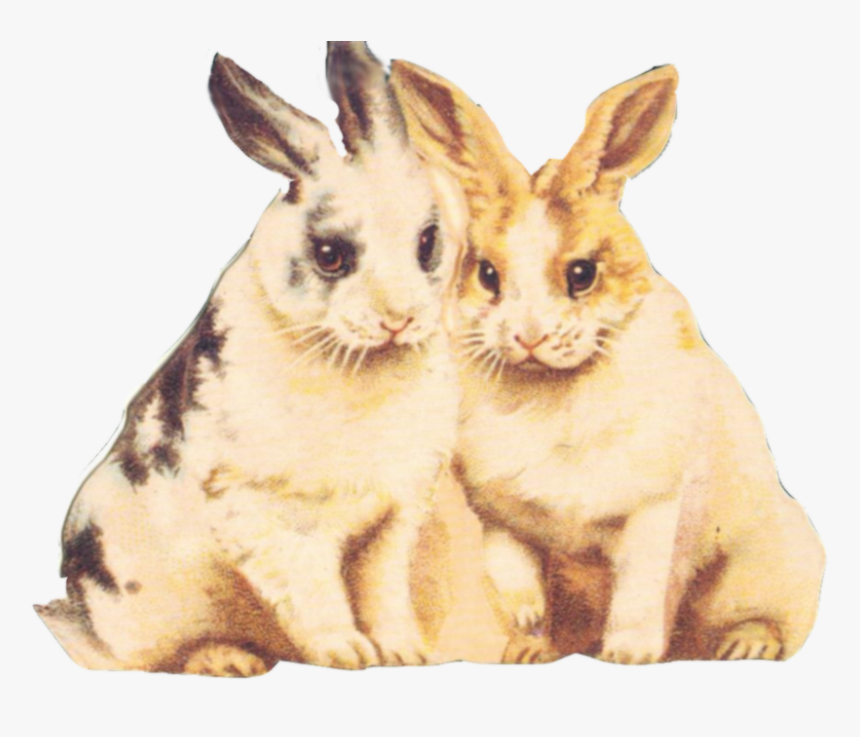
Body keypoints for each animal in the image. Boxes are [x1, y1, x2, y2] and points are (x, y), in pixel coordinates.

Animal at [35, 42, 462, 674]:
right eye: (330, 254)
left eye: (428, 241)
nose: (398, 319)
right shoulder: (276, 521)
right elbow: (316, 594)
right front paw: (347, 653)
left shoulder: (393, 519)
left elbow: (383, 591)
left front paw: (405, 652)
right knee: (126, 656)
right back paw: (224, 660)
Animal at [391, 60, 826, 664]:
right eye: (487, 274)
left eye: (582, 274)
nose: (528, 337)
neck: (549, 390)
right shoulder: (502, 519)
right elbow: (512, 572)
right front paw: (527, 639)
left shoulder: (654, 509)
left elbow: (640, 589)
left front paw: (628, 655)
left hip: (770, 565)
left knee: (770, 620)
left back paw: (744, 645)